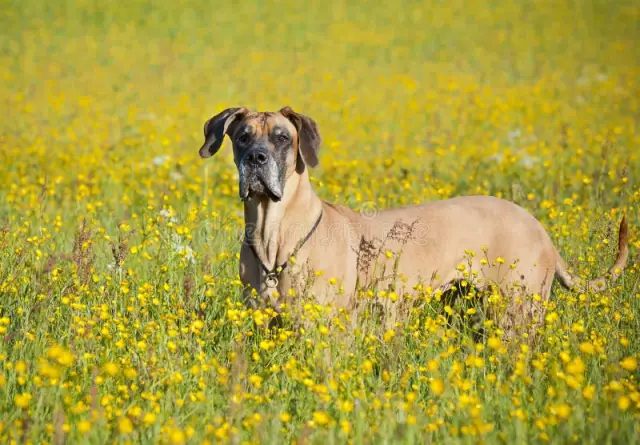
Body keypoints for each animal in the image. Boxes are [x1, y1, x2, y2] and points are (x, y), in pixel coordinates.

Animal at [200, 106, 632, 338]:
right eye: (242, 136)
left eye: (281, 137)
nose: (256, 158)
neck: (275, 235)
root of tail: (539, 226)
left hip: (517, 313)